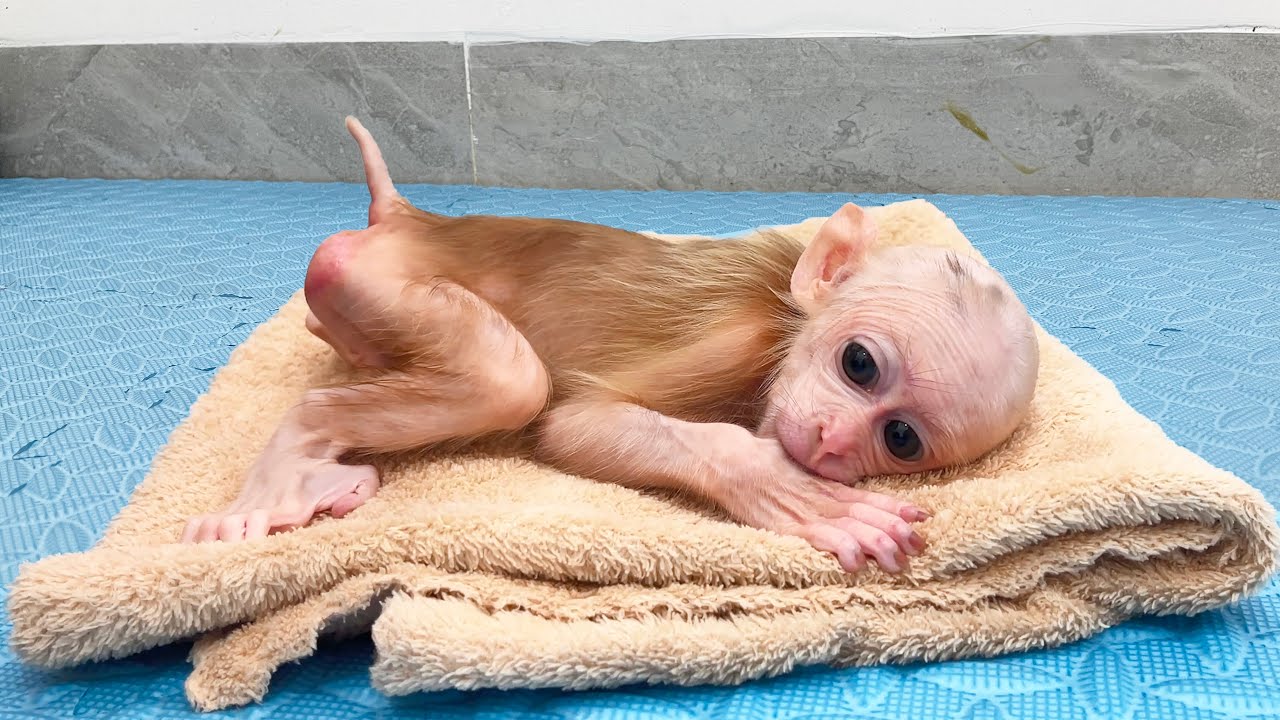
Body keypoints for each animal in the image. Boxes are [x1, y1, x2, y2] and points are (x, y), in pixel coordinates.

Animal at [181, 117, 1040, 575]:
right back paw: (296, 455)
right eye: (858, 363)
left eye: (900, 438)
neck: (783, 328)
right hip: (367, 275)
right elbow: (571, 420)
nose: (831, 443)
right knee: (510, 381)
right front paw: (774, 482)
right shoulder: (738, 341)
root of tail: (406, 218)